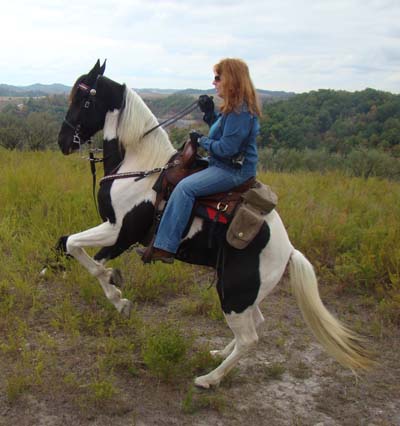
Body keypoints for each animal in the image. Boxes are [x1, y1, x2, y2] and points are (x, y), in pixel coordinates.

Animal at [57, 60, 372, 390]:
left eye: (84, 99)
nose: (63, 141)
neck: (139, 168)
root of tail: (288, 249)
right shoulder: (115, 232)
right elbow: (82, 252)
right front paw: (117, 292)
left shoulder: (120, 231)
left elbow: (77, 248)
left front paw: (118, 295)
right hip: (244, 294)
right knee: (255, 324)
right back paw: (218, 353)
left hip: (233, 294)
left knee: (249, 338)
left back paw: (209, 378)